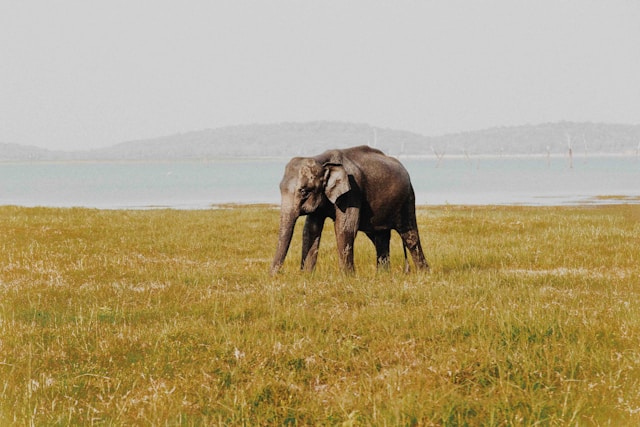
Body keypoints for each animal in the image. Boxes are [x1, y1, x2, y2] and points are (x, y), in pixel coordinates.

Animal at [271, 145, 429, 274]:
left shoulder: (352, 192)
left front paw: (347, 277)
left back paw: (423, 273)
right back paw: (383, 275)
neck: (322, 159)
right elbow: (311, 229)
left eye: (304, 191)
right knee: (380, 237)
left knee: (409, 235)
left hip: (407, 198)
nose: (275, 275)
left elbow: (345, 228)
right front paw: (307, 276)